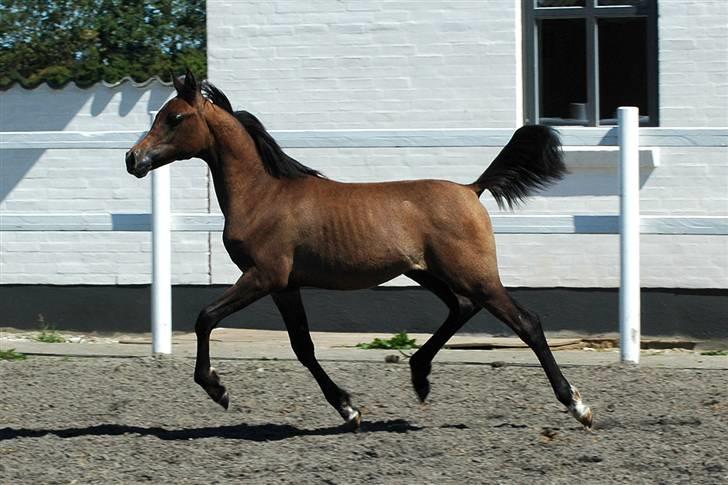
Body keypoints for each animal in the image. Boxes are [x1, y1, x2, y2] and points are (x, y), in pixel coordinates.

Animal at [125, 71, 592, 428]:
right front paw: (349, 410)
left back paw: (577, 406)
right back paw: (419, 376)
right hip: (427, 272)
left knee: (526, 322)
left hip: (473, 274)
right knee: (461, 307)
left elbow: (205, 317)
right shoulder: (285, 285)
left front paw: (217, 389)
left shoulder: (263, 276)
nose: (133, 159)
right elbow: (303, 347)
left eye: (175, 117)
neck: (264, 195)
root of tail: (470, 189)